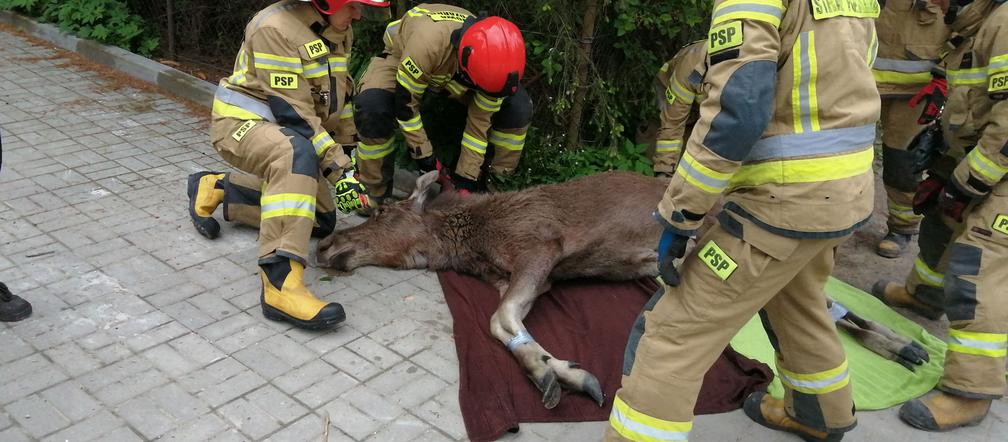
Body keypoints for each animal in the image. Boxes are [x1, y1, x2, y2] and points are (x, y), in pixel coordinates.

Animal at [318, 170, 923, 409]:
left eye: (383, 213)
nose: (326, 246)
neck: (473, 243)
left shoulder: (540, 249)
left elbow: (499, 321)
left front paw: (560, 374)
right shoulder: (522, 274)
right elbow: (504, 320)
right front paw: (556, 371)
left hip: (718, 254)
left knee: (826, 306)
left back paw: (905, 344)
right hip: (672, 268)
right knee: (822, 310)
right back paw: (903, 346)